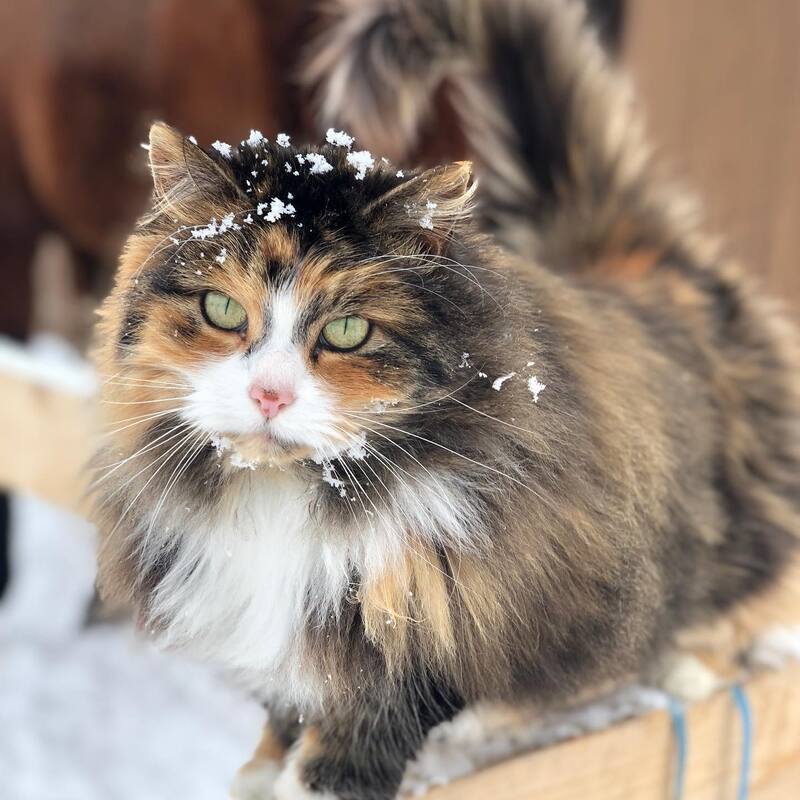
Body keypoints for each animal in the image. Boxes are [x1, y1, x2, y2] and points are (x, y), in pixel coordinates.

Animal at [94, 1, 800, 800]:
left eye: (346, 330)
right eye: (221, 311)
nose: (269, 394)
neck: (292, 500)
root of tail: (634, 259)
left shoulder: (421, 646)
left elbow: (341, 758)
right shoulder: (288, 640)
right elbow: (283, 715)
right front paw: (256, 774)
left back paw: (679, 674)